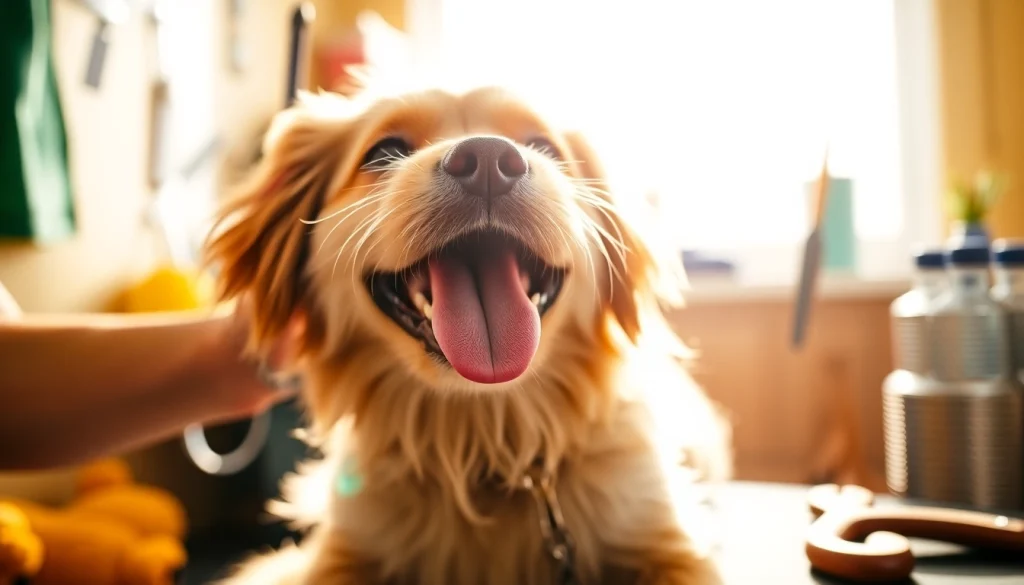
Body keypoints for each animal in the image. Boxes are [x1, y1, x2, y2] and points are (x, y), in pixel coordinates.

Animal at [203, 82, 733, 585]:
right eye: (383, 152)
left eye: (543, 145)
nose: (488, 161)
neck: (480, 446)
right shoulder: (345, 549)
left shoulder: (665, 540)